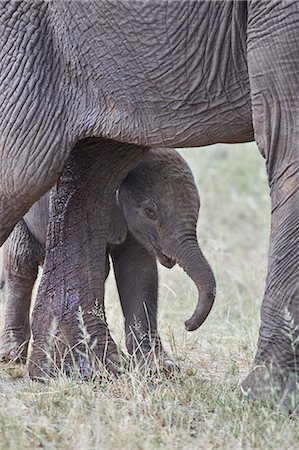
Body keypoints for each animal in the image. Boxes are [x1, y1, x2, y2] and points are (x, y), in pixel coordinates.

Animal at [0, 0, 298, 408]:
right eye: (151, 211)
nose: (188, 324)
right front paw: (266, 400)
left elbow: (140, 272)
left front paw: (161, 371)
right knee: (22, 234)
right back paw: (23, 358)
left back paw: (78, 370)